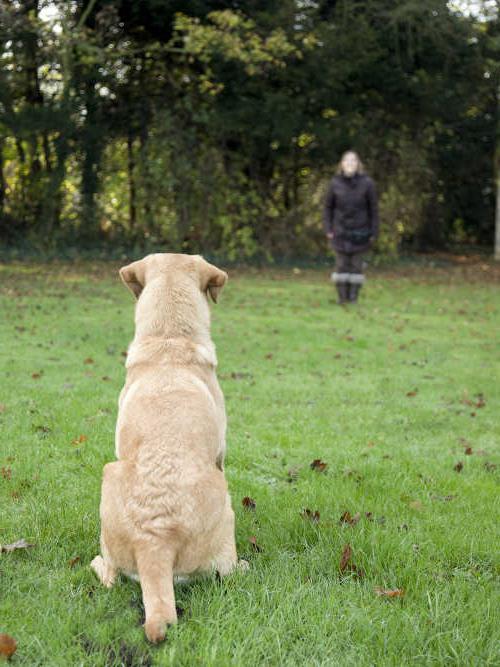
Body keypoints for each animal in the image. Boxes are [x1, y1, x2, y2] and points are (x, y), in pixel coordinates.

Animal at [91, 254, 240, 640]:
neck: (170, 340)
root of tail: (155, 540)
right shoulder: (221, 454)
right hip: (223, 495)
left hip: (110, 472)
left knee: (112, 575)